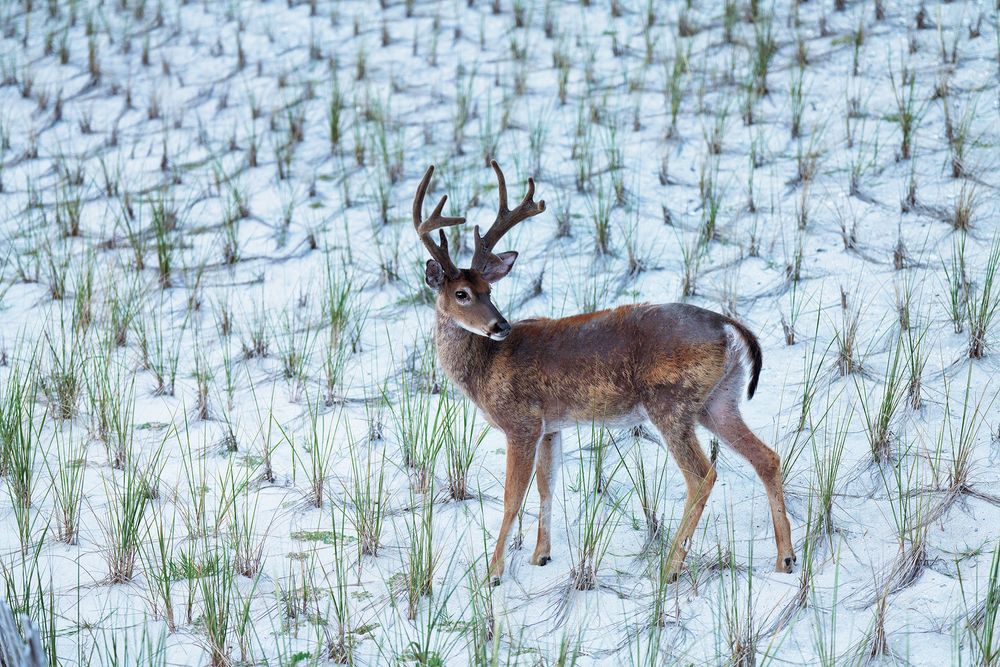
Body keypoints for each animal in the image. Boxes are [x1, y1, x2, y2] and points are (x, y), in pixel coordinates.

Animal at [412, 160, 795, 585]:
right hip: (719, 400)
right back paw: (785, 559)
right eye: (463, 293)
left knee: (701, 475)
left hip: (670, 401)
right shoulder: (550, 425)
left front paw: (492, 573)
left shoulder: (521, 421)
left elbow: (514, 497)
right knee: (767, 457)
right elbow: (546, 487)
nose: (500, 325)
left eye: (488, 291)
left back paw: (670, 566)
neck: (485, 366)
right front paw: (540, 556)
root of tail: (726, 324)